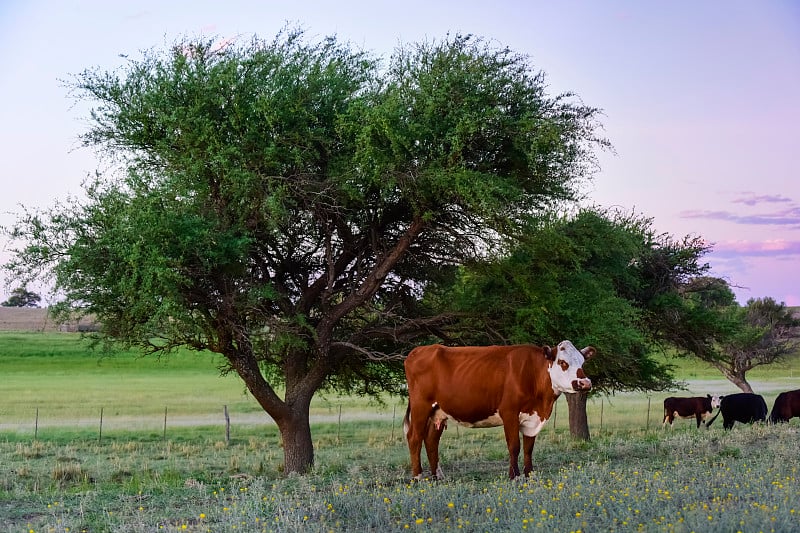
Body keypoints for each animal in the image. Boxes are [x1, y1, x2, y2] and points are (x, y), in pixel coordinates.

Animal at [400, 338, 592, 480]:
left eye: (583, 362)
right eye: (563, 362)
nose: (585, 383)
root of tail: (418, 351)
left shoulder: (533, 417)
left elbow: (529, 447)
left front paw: (529, 474)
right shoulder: (509, 412)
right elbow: (514, 446)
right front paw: (514, 476)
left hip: (438, 412)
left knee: (431, 440)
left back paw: (437, 477)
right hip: (421, 406)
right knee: (414, 438)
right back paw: (417, 478)